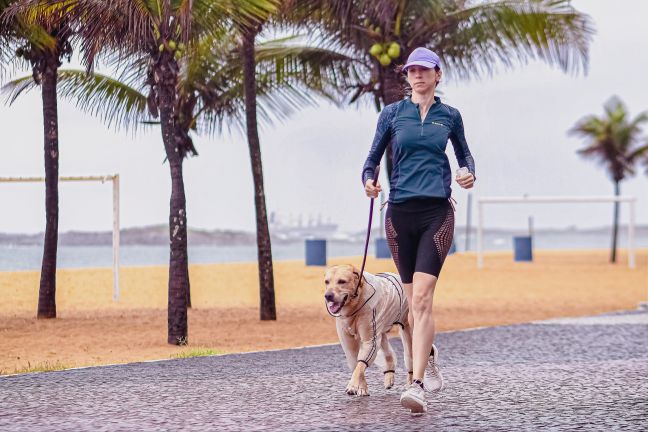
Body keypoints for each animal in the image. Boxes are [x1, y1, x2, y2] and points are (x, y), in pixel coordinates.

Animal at [326, 264, 412, 394]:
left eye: (342, 281)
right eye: (326, 282)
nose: (327, 296)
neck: (354, 305)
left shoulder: (370, 339)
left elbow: (360, 365)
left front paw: (354, 385)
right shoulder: (348, 341)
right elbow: (356, 364)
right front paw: (362, 387)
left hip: (407, 331)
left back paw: (411, 383)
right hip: (381, 332)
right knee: (388, 354)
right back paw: (389, 376)